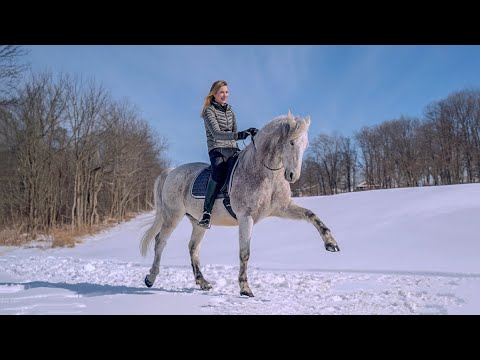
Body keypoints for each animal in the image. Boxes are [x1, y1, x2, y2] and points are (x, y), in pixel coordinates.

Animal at [141, 111, 340, 296]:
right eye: (291, 143)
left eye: (305, 145)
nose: (293, 176)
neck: (265, 174)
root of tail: (172, 171)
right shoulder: (246, 217)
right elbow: (245, 253)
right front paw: (245, 288)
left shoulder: (283, 209)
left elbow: (311, 215)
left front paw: (331, 243)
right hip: (172, 215)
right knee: (160, 242)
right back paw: (150, 278)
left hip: (197, 222)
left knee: (193, 248)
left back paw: (203, 282)